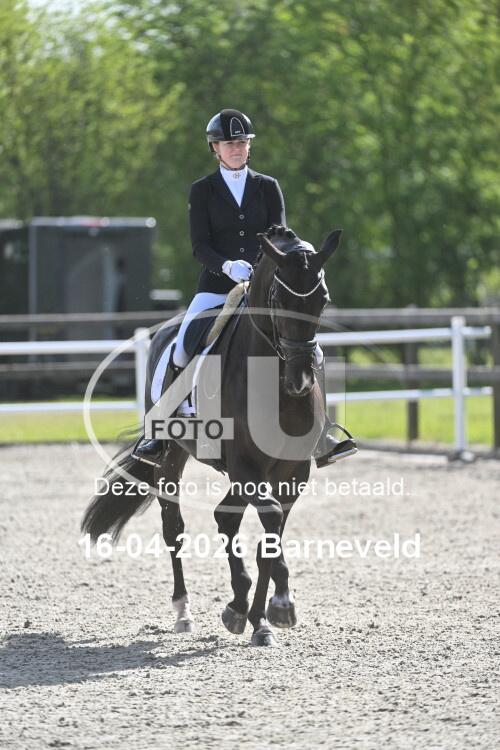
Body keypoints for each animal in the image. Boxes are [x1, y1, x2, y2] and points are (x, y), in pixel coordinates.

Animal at [81, 225, 342, 646]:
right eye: (279, 298)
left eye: (322, 299)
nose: (300, 381)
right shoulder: (246, 466)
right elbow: (268, 519)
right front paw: (272, 609)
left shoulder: (291, 471)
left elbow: (271, 535)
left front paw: (264, 614)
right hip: (173, 459)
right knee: (175, 527)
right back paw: (185, 613)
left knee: (225, 516)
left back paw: (241, 608)